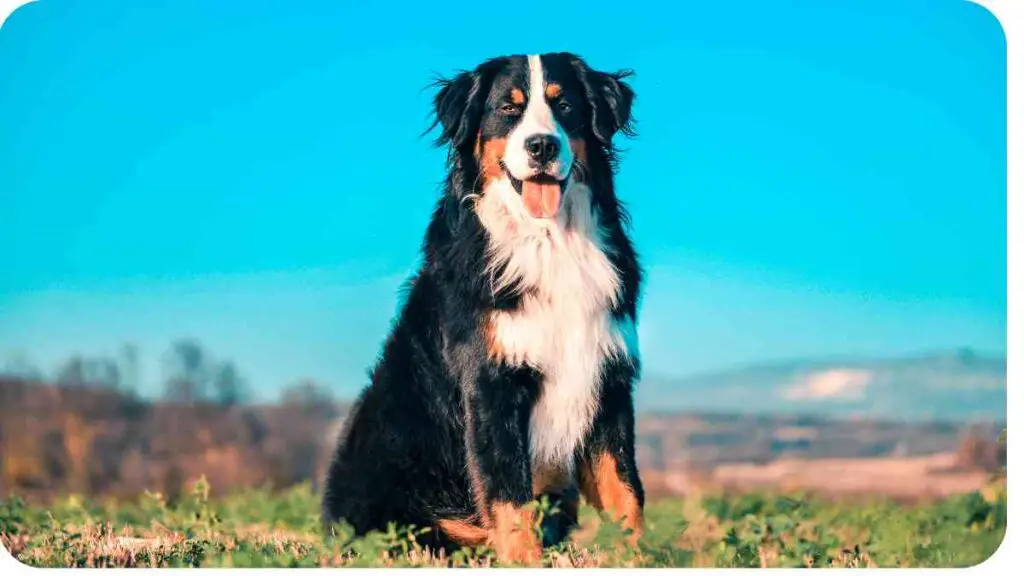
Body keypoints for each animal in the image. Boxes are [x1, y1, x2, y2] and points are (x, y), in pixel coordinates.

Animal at [319, 51, 643, 561]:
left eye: (565, 105)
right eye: (508, 109)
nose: (541, 146)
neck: (548, 242)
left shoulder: (608, 380)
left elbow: (625, 493)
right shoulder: (491, 384)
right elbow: (510, 496)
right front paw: (524, 563)